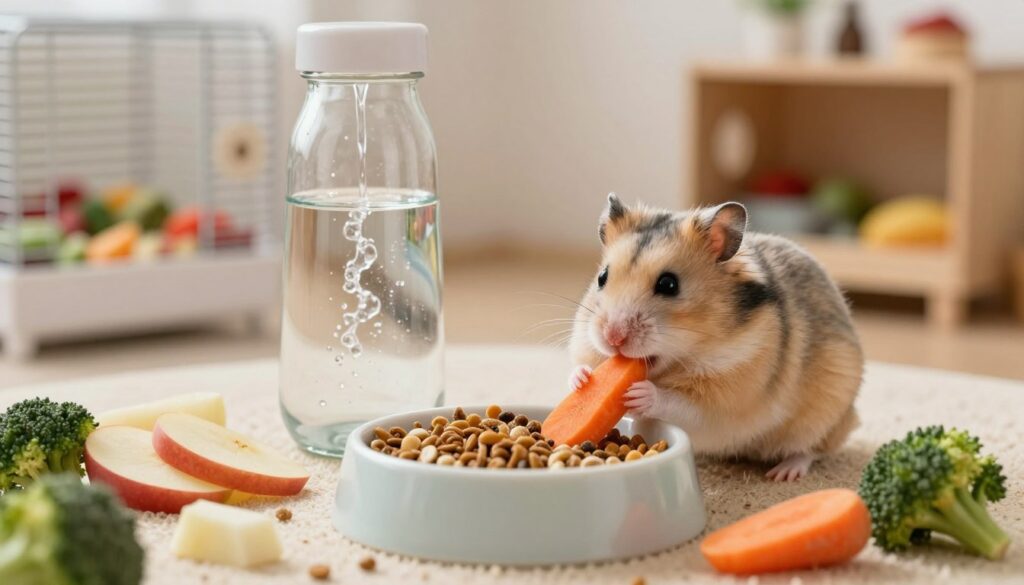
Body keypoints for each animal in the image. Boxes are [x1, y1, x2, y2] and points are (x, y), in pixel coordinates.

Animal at [568, 194, 863, 481]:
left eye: (669, 284)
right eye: (602, 277)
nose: (612, 338)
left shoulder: (725, 400)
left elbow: (680, 404)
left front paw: (638, 393)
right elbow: (581, 366)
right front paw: (582, 380)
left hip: (826, 415)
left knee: (811, 450)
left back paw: (784, 473)